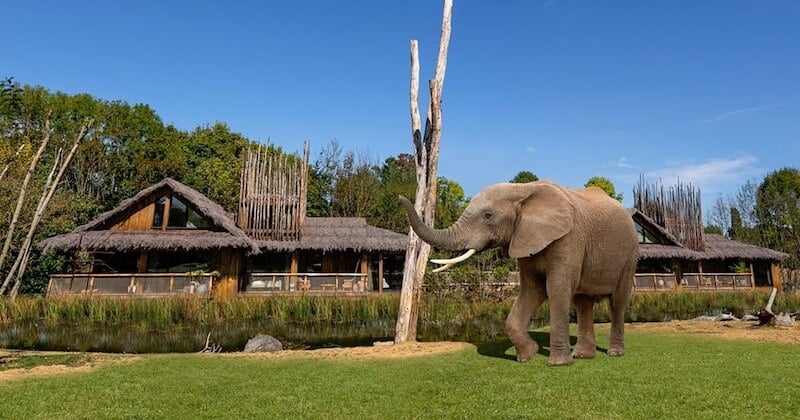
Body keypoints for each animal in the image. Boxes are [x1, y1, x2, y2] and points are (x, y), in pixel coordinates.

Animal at [404, 180, 640, 364]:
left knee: (617, 301)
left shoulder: (570, 237)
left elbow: (557, 288)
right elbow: (532, 290)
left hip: (630, 254)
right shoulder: (525, 238)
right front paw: (528, 356)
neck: (522, 189)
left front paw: (557, 364)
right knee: (583, 303)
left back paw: (614, 353)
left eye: (488, 215)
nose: (401, 198)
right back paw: (582, 356)